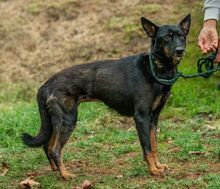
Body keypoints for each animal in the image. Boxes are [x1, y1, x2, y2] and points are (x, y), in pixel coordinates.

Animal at [21, 14, 191, 180]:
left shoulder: (154, 118)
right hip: (68, 120)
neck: (154, 68)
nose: (180, 50)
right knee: (55, 149)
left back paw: (56, 170)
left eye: (181, 36)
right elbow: (147, 147)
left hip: (56, 122)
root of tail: (46, 85)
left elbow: (154, 145)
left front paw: (158, 166)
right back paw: (65, 174)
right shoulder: (141, 118)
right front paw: (153, 170)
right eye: (167, 37)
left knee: (47, 146)